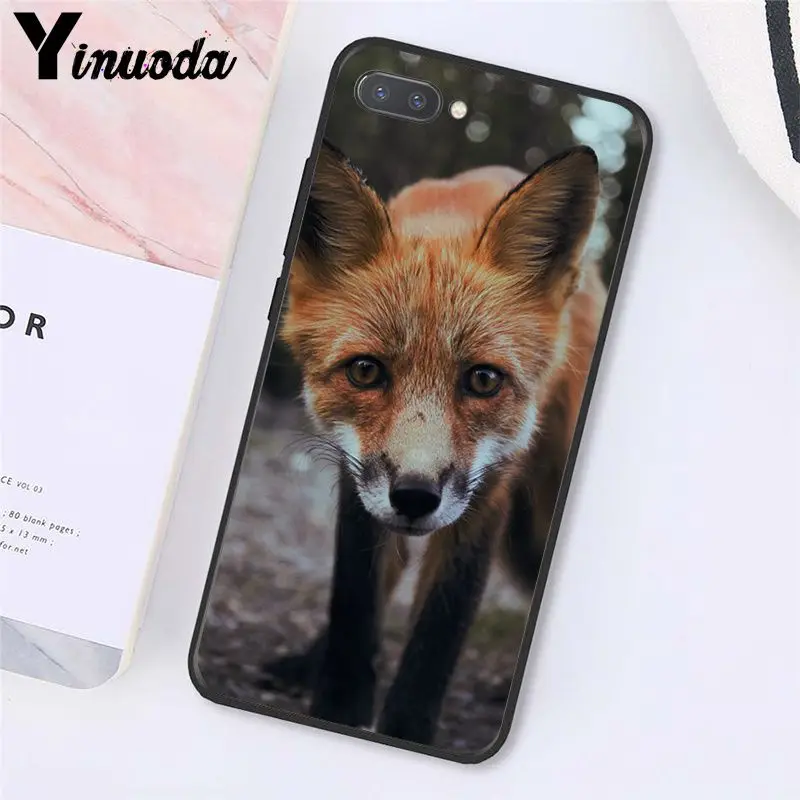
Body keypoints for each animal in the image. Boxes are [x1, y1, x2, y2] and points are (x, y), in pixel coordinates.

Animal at [264, 139, 606, 746]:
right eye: (366, 371)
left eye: (484, 380)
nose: (415, 497)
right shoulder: (357, 480)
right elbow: (353, 606)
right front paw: (339, 707)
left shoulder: (489, 490)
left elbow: (437, 636)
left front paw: (406, 730)